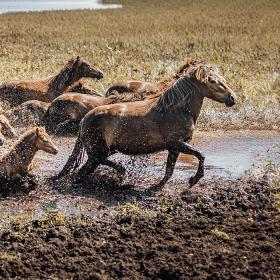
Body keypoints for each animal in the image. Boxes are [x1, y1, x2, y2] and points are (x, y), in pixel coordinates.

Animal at [58, 60, 237, 189]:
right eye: (212, 81)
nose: (233, 98)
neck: (176, 109)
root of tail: (84, 120)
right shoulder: (177, 143)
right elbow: (201, 155)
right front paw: (194, 179)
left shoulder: (174, 148)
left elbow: (169, 171)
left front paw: (157, 186)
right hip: (98, 152)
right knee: (84, 170)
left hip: (106, 150)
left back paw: (121, 173)